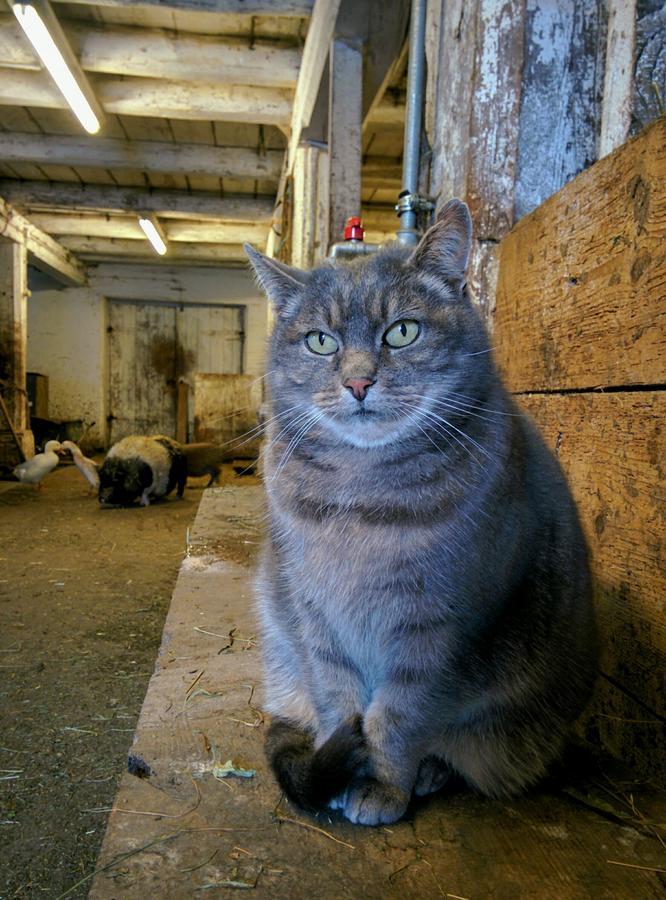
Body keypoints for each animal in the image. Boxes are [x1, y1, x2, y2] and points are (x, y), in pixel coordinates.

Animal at [244, 200, 596, 828]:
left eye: (402, 331)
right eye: (320, 341)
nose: (358, 381)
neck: (361, 498)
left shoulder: (437, 628)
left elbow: (398, 716)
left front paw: (383, 786)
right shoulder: (314, 613)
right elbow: (337, 698)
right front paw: (343, 763)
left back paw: (431, 771)